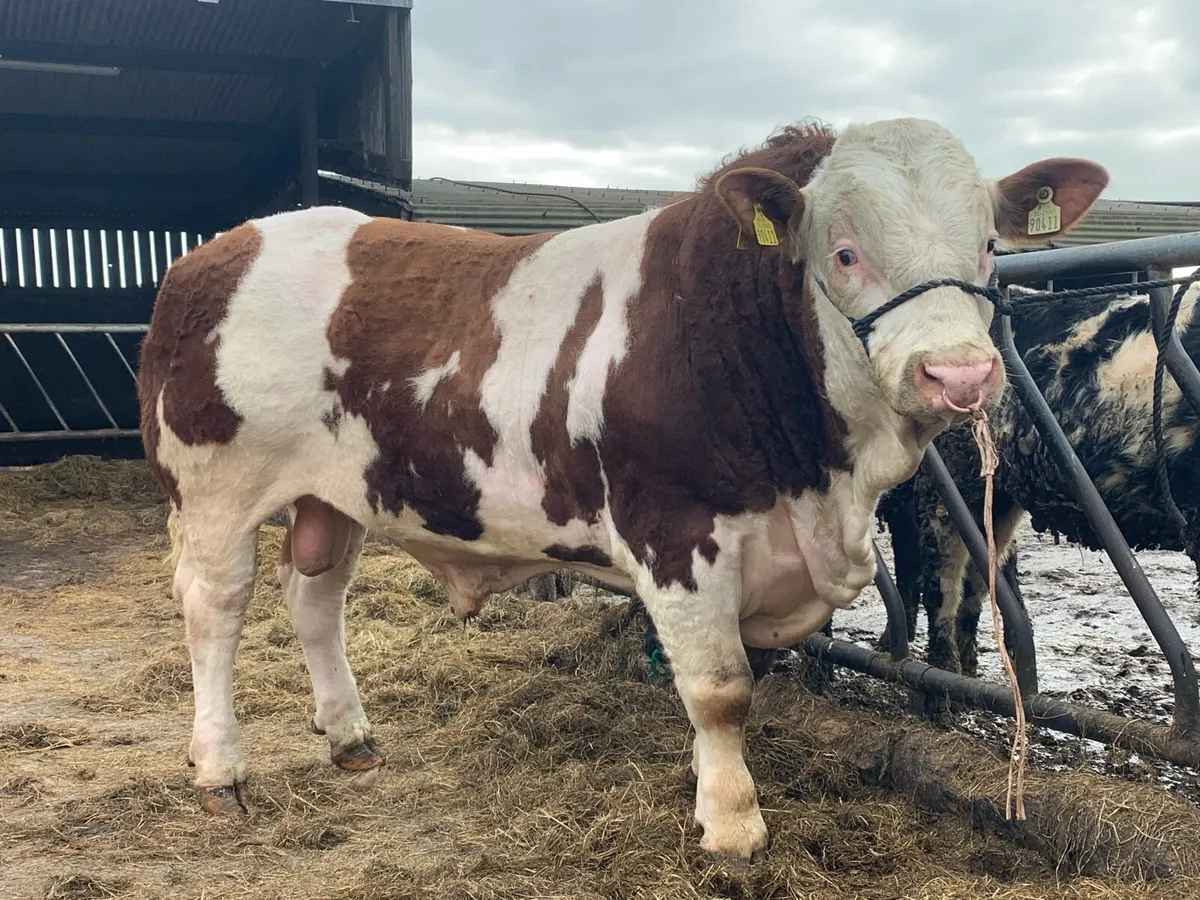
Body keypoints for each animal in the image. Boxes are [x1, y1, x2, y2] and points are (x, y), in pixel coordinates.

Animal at [135, 117, 1106, 860]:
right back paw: (220, 769)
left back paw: (350, 738)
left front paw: (709, 786)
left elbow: (738, 678)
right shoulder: (675, 531)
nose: (959, 374)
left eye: (988, 245)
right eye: (844, 252)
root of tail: (216, 251)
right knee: (216, 610)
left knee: (315, 602)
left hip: (334, 494)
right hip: (216, 489)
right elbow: (720, 688)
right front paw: (733, 828)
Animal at [877, 281, 1200, 678]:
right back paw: (945, 678)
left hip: (996, 496)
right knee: (942, 585)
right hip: (947, 487)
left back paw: (970, 672)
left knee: (975, 582)